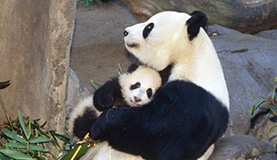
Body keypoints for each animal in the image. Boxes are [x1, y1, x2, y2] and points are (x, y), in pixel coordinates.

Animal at [88, 10, 229, 159]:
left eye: (149, 27)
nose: (125, 32)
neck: (192, 58)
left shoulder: (192, 102)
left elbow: (157, 135)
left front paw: (102, 124)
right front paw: (106, 99)